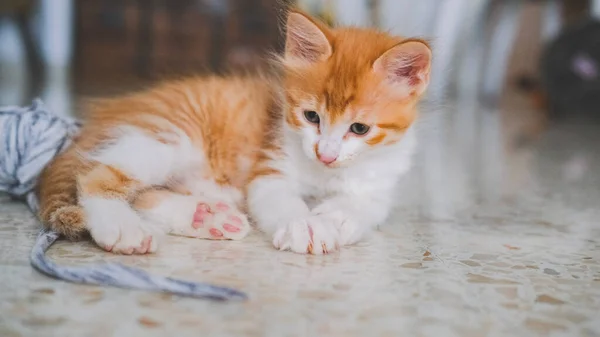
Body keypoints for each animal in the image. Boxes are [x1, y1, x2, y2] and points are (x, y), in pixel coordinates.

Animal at [36, 9, 432, 253]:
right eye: (311, 117)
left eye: (359, 128)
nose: (326, 154)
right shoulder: (269, 165)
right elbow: (281, 198)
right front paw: (305, 224)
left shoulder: (381, 180)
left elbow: (367, 206)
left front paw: (337, 217)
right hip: (169, 137)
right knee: (95, 175)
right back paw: (122, 229)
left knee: (143, 195)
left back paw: (208, 218)